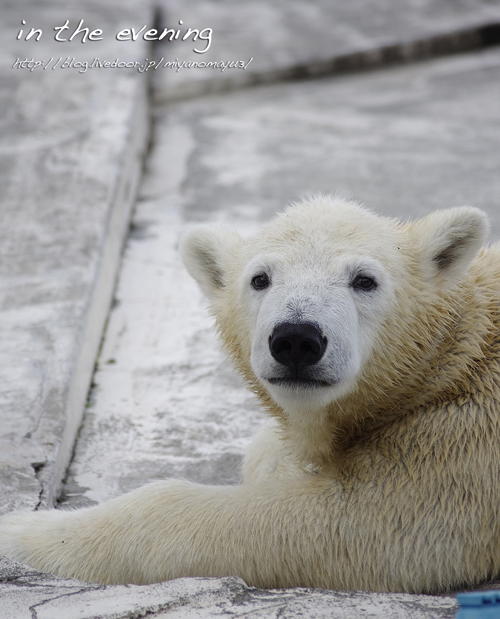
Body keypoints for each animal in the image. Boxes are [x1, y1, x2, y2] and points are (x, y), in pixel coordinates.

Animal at [0, 196, 500, 592]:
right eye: (260, 278)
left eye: (364, 279)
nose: (296, 338)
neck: (451, 364)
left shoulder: (455, 451)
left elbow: (351, 525)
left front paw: (21, 531)